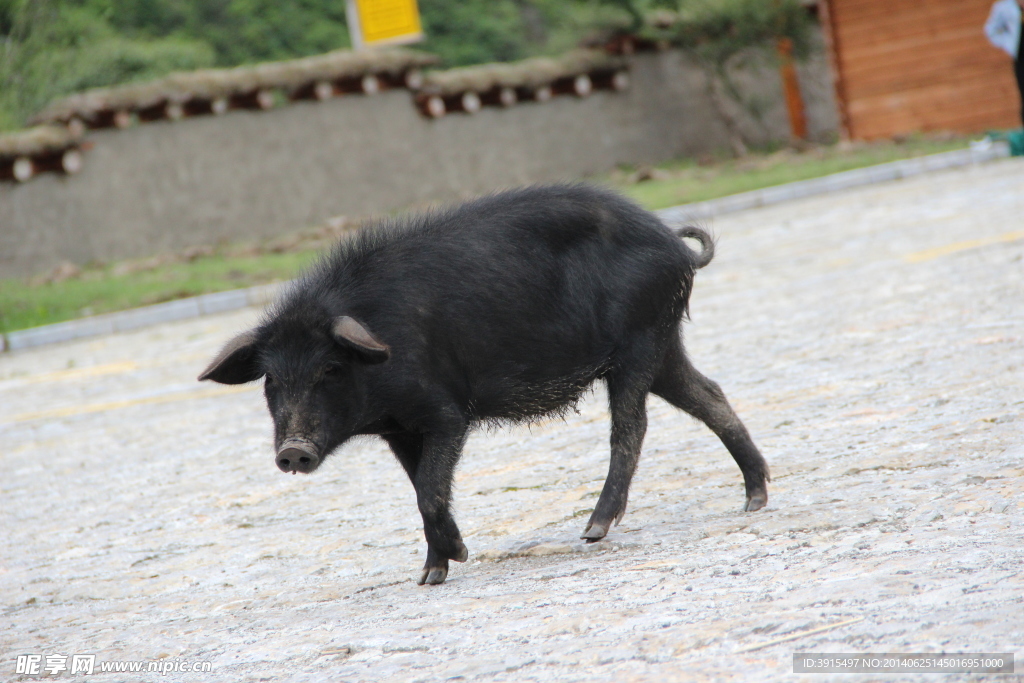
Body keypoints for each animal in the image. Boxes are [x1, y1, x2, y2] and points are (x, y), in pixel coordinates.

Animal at [199, 184, 770, 585]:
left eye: (330, 370)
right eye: (272, 379)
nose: (292, 450)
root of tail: (676, 246)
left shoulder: (445, 414)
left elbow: (429, 489)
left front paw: (449, 563)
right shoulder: (398, 429)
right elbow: (421, 487)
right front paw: (432, 574)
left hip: (637, 346)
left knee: (630, 430)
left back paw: (592, 530)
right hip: (662, 343)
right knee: (710, 395)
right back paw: (754, 500)